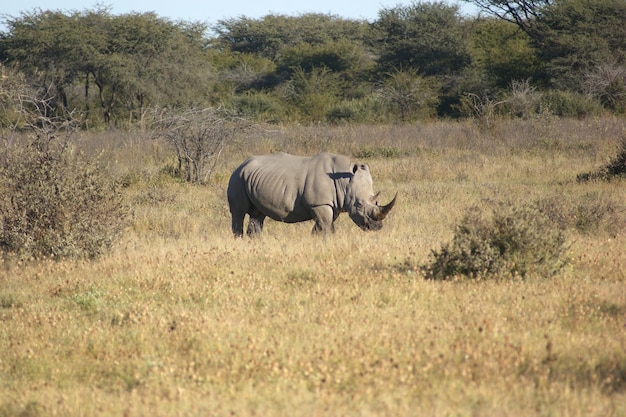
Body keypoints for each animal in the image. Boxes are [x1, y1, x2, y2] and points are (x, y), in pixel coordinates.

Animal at [225, 153, 394, 237]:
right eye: (358, 205)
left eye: (376, 201)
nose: (376, 227)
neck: (344, 182)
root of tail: (241, 164)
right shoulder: (319, 203)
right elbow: (325, 226)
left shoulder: (332, 205)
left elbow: (324, 226)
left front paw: (316, 239)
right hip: (237, 178)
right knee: (238, 212)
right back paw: (239, 239)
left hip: (253, 179)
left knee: (258, 215)